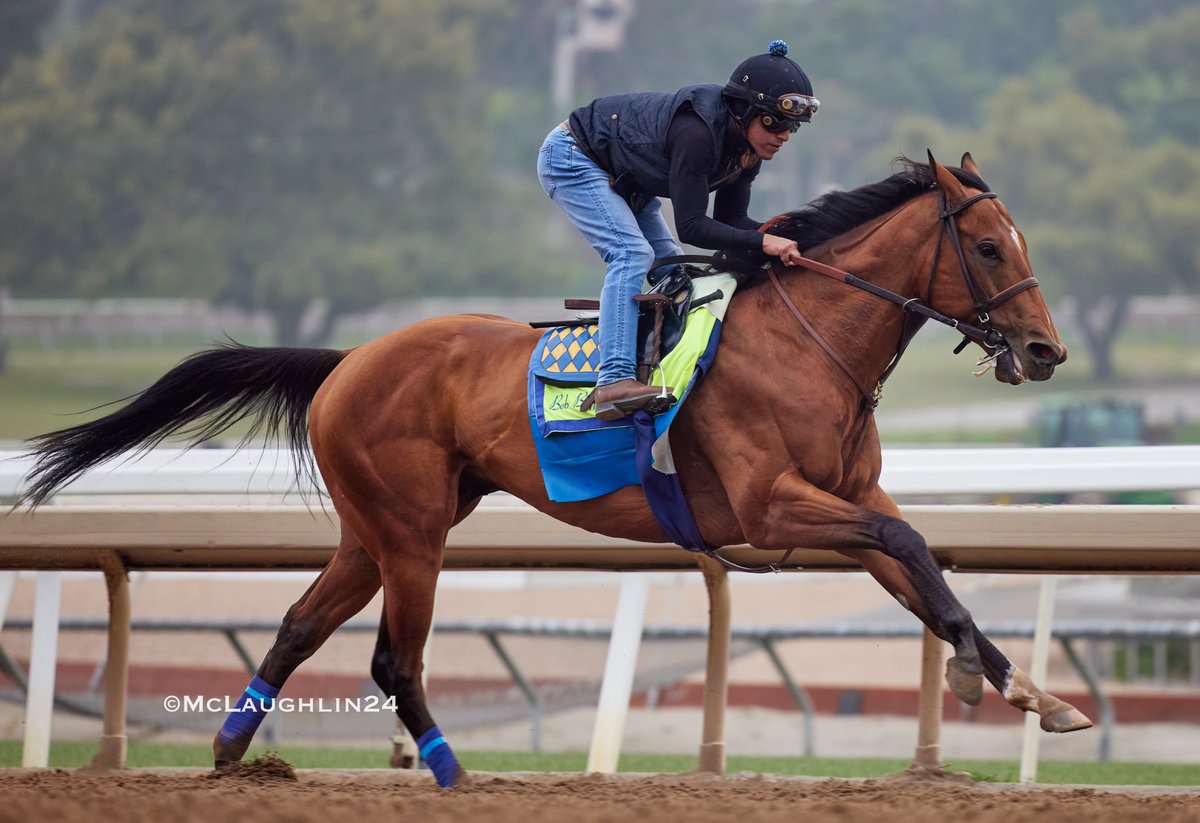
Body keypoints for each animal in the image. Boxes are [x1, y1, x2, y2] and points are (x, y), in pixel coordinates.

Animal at [16, 151, 1089, 791]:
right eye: (988, 244)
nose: (1046, 352)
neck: (807, 342)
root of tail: (348, 360)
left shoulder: (845, 500)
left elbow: (925, 574)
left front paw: (1031, 691)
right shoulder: (773, 505)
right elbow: (911, 546)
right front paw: (989, 677)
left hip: (376, 530)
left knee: (298, 625)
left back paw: (233, 754)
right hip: (413, 531)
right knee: (392, 657)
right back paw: (453, 774)